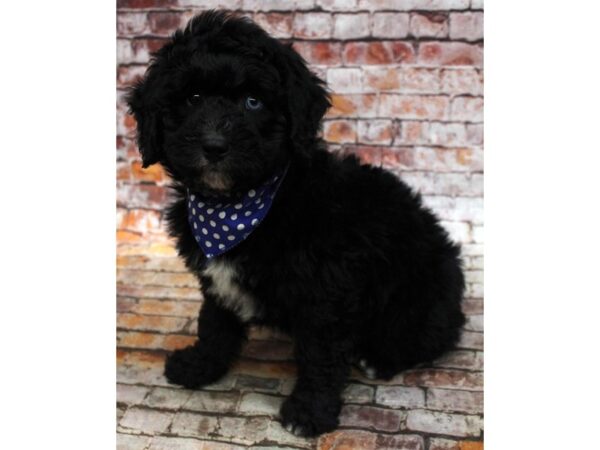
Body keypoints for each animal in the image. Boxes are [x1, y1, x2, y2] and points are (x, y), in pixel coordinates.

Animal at [125, 10, 464, 438]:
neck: (239, 206)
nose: (215, 146)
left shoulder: (328, 291)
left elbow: (320, 355)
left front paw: (309, 412)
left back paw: (378, 359)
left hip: (419, 297)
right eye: (193, 98)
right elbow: (215, 324)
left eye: (253, 102)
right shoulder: (217, 283)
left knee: (432, 335)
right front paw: (201, 366)